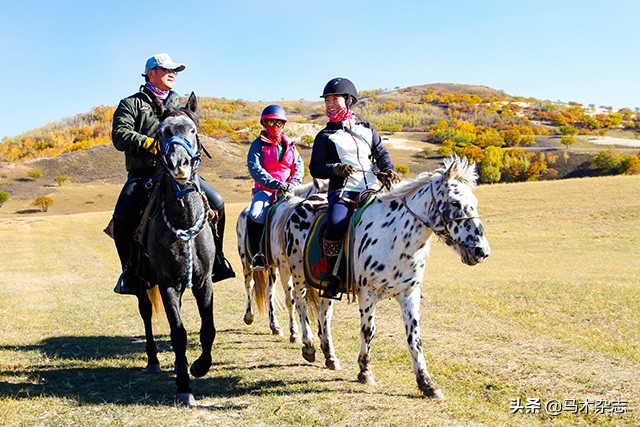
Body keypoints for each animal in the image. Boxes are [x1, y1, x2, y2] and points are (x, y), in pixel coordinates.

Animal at [136, 93, 216, 408]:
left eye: (192, 130)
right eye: (161, 133)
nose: (178, 164)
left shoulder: (204, 281)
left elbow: (207, 329)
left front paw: (200, 366)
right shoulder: (167, 283)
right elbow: (178, 333)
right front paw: (184, 386)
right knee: (146, 313)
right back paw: (153, 360)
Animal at [235, 179, 328, 342]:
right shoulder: (285, 268)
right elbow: (290, 300)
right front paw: (295, 333)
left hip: (272, 268)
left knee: (268, 291)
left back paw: (275, 326)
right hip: (246, 263)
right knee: (249, 285)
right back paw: (249, 316)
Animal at [274, 156, 490, 398]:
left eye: (475, 202)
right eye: (454, 202)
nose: (481, 251)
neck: (396, 237)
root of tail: (298, 205)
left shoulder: (409, 293)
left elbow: (414, 337)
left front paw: (427, 383)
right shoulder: (367, 294)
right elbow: (368, 331)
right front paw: (365, 370)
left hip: (327, 286)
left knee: (324, 314)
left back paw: (329, 355)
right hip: (297, 274)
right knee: (301, 306)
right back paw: (308, 345)